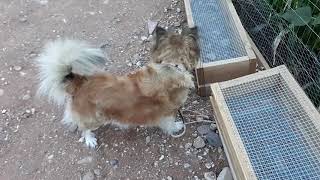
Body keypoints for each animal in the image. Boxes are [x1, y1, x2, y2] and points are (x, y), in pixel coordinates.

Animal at [37, 26, 198, 148]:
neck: (171, 66)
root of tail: (79, 82)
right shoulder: (167, 112)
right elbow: (169, 123)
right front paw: (177, 127)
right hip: (95, 119)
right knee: (84, 127)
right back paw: (90, 140)